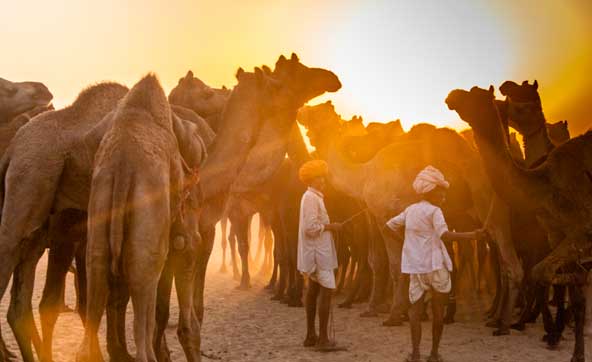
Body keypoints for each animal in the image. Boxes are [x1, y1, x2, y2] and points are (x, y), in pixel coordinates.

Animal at [446, 85, 592, 362]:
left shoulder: (581, 231)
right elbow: (562, 285)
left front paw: (537, 327)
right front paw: (575, 352)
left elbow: (535, 273)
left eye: (474, 94)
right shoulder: (557, 235)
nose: (452, 95)